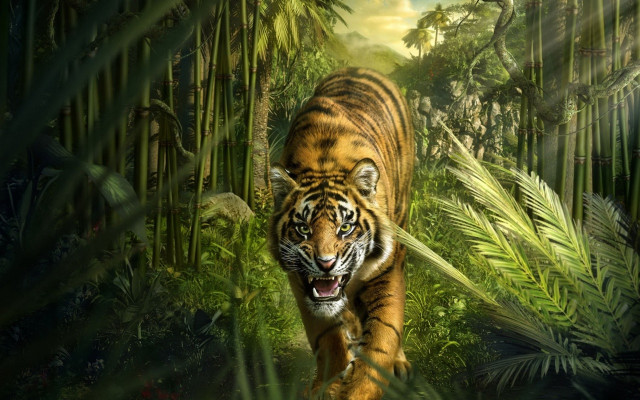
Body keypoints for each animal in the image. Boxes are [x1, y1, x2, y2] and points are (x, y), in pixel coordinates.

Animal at [269, 67, 414, 399]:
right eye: (303, 228)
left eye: (345, 227)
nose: (326, 264)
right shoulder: (300, 282)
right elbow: (328, 334)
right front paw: (330, 383)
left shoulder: (386, 274)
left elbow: (383, 340)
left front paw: (359, 388)